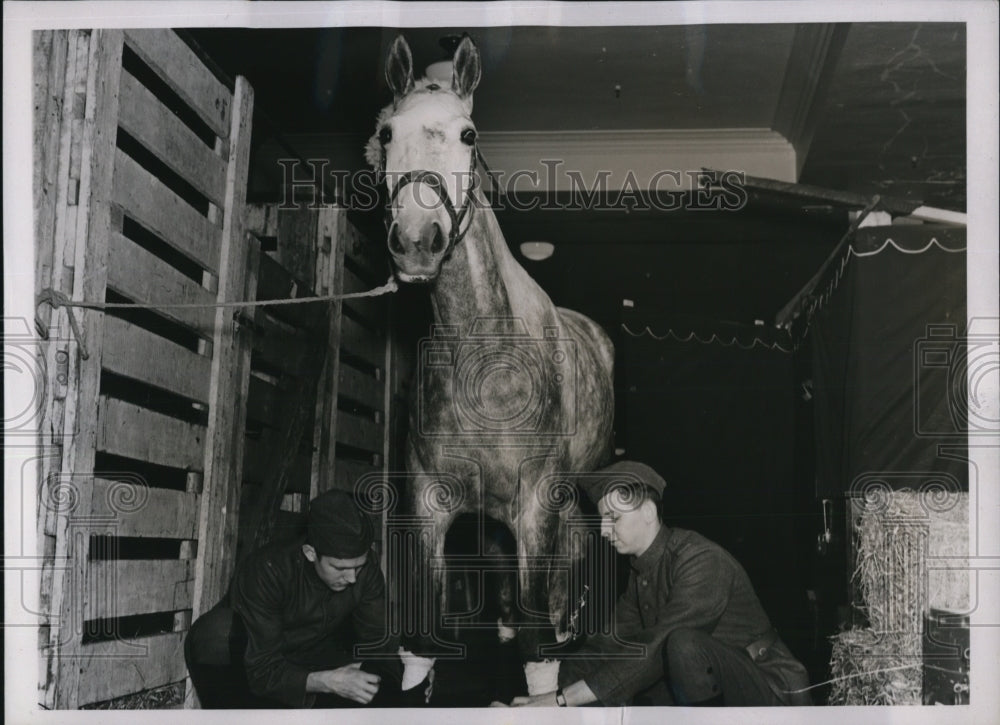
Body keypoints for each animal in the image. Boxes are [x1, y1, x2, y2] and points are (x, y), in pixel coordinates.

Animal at [365, 34, 615, 695]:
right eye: (387, 132)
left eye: (469, 134)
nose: (417, 241)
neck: (487, 361)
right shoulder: (429, 508)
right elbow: (422, 648)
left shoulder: (536, 505)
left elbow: (538, 656)